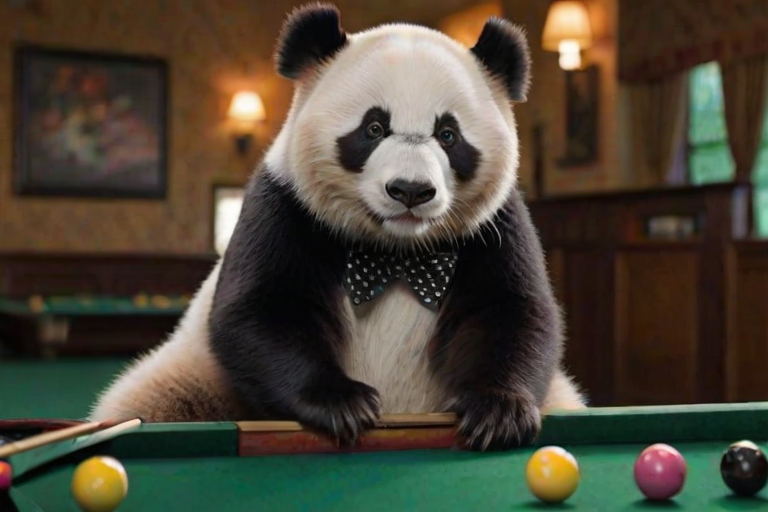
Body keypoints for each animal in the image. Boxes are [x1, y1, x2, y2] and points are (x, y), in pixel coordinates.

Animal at [89, 2, 586, 451]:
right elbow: (262, 307)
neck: (395, 251)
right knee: (152, 403)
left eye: (448, 135)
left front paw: (496, 411)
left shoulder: (497, 225)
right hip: (198, 378)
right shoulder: (285, 206)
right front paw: (341, 403)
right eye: (373, 128)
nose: (410, 190)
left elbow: (512, 311)